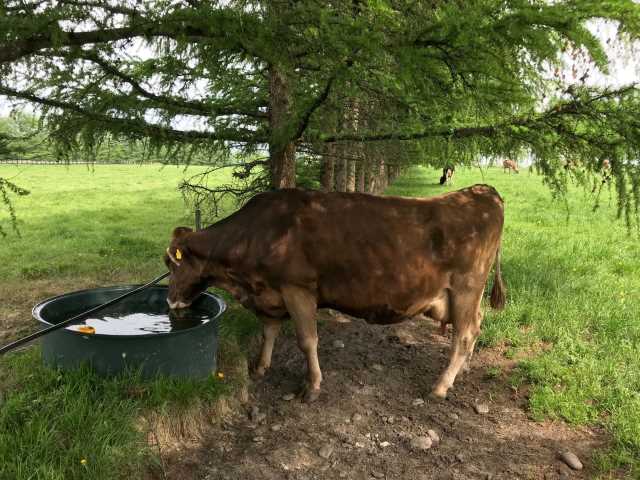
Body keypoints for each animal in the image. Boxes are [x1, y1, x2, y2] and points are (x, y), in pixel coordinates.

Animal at [168, 187, 508, 402]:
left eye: (171, 263)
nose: (170, 302)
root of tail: (480, 191)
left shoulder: (297, 289)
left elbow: (307, 340)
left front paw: (312, 386)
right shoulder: (270, 295)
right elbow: (269, 332)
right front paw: (260, 367)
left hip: (466, 287)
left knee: (464, 334)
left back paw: (440, 386)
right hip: (467, 295)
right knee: (476, 326)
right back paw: (463, 369)